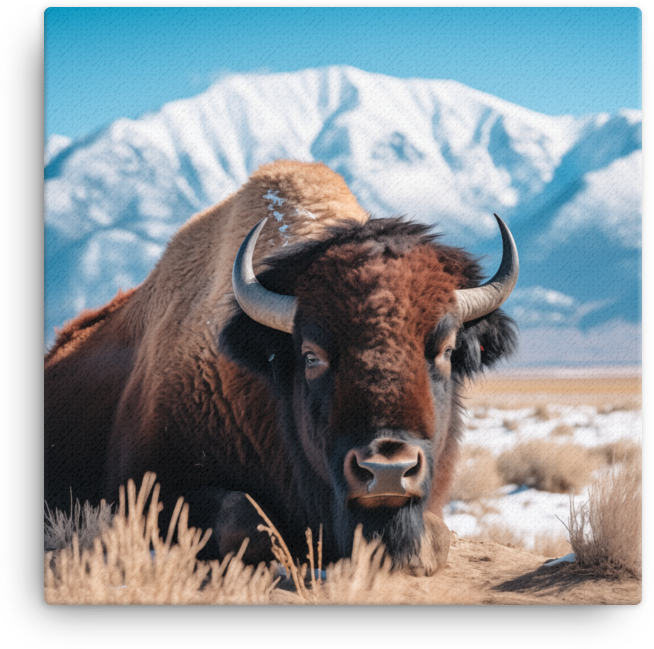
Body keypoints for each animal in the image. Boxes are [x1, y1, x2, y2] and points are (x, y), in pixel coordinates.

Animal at [45, 160, 518, 573]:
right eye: (311, 354)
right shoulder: (148, 487)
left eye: (446, 350)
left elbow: (436, 535)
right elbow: (247, 518)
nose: (388, 470)